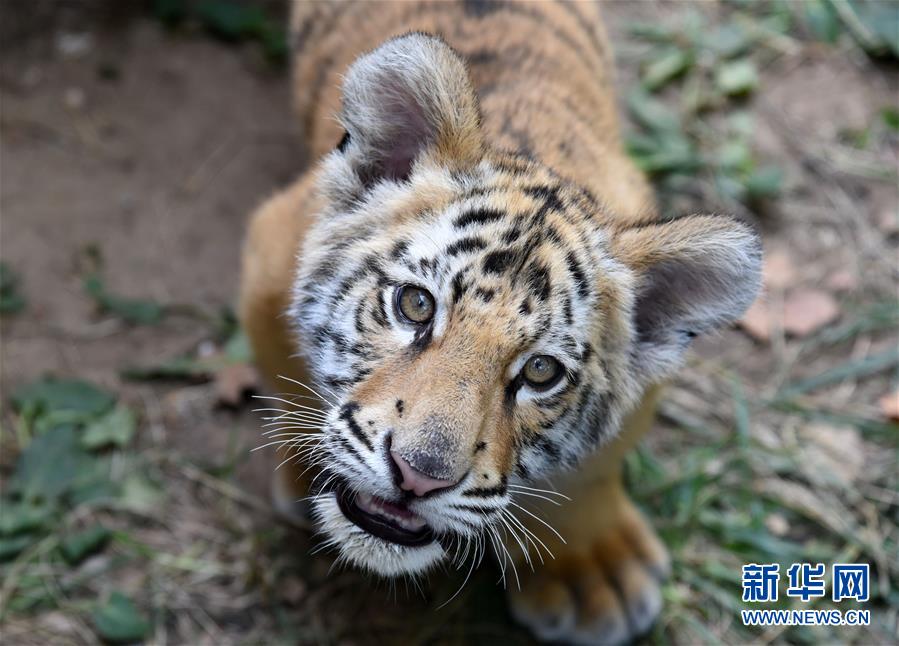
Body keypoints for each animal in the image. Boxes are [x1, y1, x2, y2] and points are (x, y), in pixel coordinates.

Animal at [237, 2, 760, 644]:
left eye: (540, 372)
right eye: (415, 305)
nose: (418, 477)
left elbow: (591, 469)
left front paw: (594, 573)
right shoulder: (268, 259)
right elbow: (288, 384)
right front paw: (304, 476)